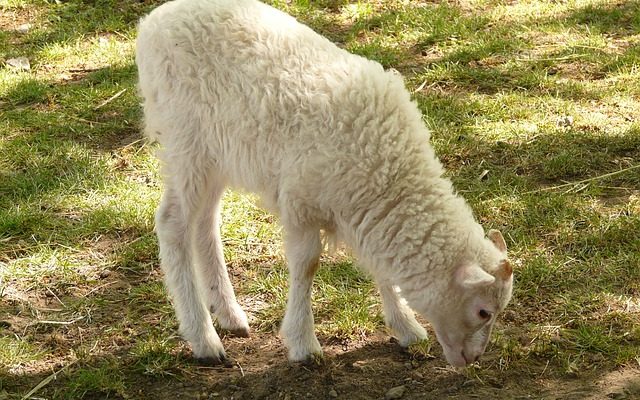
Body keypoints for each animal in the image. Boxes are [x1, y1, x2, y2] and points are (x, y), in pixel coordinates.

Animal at [136, 0, 516, 368]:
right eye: (483, 311)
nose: (473, 359)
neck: (391, 171)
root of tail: (152, 22)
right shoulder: (301, 202)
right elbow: (307, 265)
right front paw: (303, 343)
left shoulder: (361, 205)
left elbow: (379, 266)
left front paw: (405, 326)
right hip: (187, 143)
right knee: (173, 224)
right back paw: (203, 338)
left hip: (218, 155)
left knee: (205, 222)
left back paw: (228, 313)